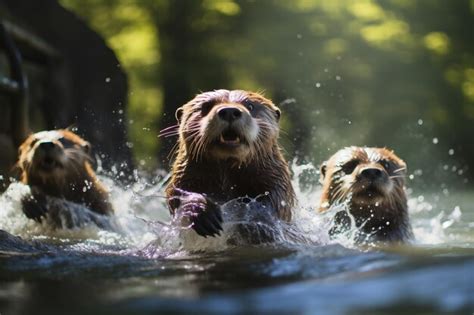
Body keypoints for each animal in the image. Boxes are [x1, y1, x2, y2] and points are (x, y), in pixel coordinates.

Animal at [165, 90, 294, 238]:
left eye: (250, 106)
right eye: (206, 106)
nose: (229, 111)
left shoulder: (277, 176)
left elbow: (278, 199)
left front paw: (256, 222)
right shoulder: (183, 174)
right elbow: (177, 192)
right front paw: (204, 213)